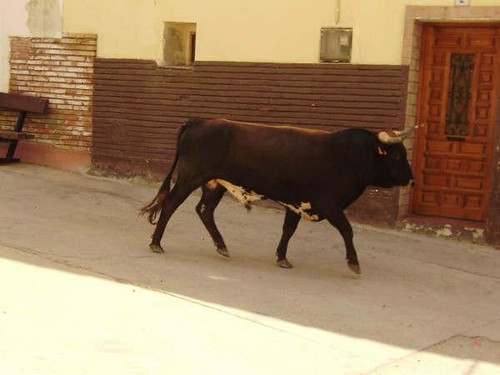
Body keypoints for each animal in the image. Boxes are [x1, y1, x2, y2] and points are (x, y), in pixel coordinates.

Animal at [141, 119, 414, 274]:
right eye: (398, 156)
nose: (411, 180)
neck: (352, 155)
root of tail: (198, 121)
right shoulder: (329, 206)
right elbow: (347, 230)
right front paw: (353, 262)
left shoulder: (298, 204)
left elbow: (288, 230)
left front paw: (282, 257)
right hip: (190, 178)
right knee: (170, 205)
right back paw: (156, 243)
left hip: (214, 183)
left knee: (204, 210)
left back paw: (222, 246)